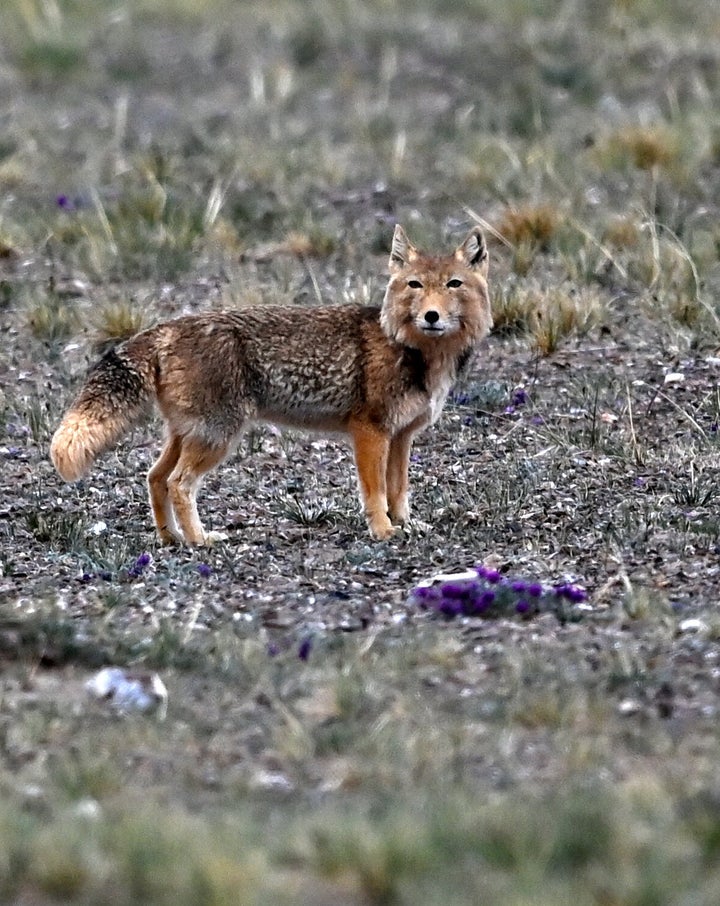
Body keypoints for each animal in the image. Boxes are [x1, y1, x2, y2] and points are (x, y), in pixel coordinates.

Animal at [49, 224, 490, 544]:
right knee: (178, 484)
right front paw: (382, 531)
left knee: (155, 477)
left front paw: (406, 525)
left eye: (453, 284)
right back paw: (199, 540)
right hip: (217, 437)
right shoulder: (370, 432)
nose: (432, 316)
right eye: (415, 285)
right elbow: (376, 492)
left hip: (189, 435)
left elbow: (399, 490)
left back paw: (171, 538)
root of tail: (169, 326)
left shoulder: (400, 436)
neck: (413, 350)